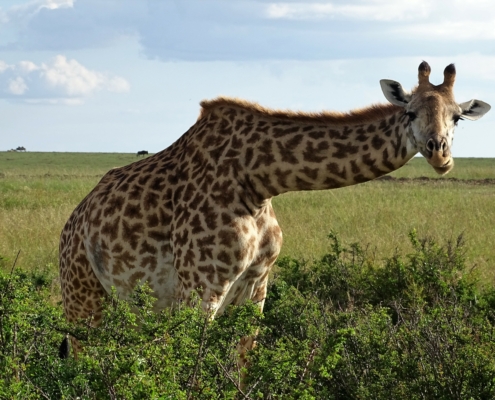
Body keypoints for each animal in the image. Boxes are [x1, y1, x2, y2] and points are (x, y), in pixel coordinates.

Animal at [59, 62, 492, 362]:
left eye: (457, 117)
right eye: (409, 113)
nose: (439, 153)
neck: (258, 182)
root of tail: (71, 224)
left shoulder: (257, 287)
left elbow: (240, 367)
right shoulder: (199, 287)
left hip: (124, 303)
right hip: (82, 295)